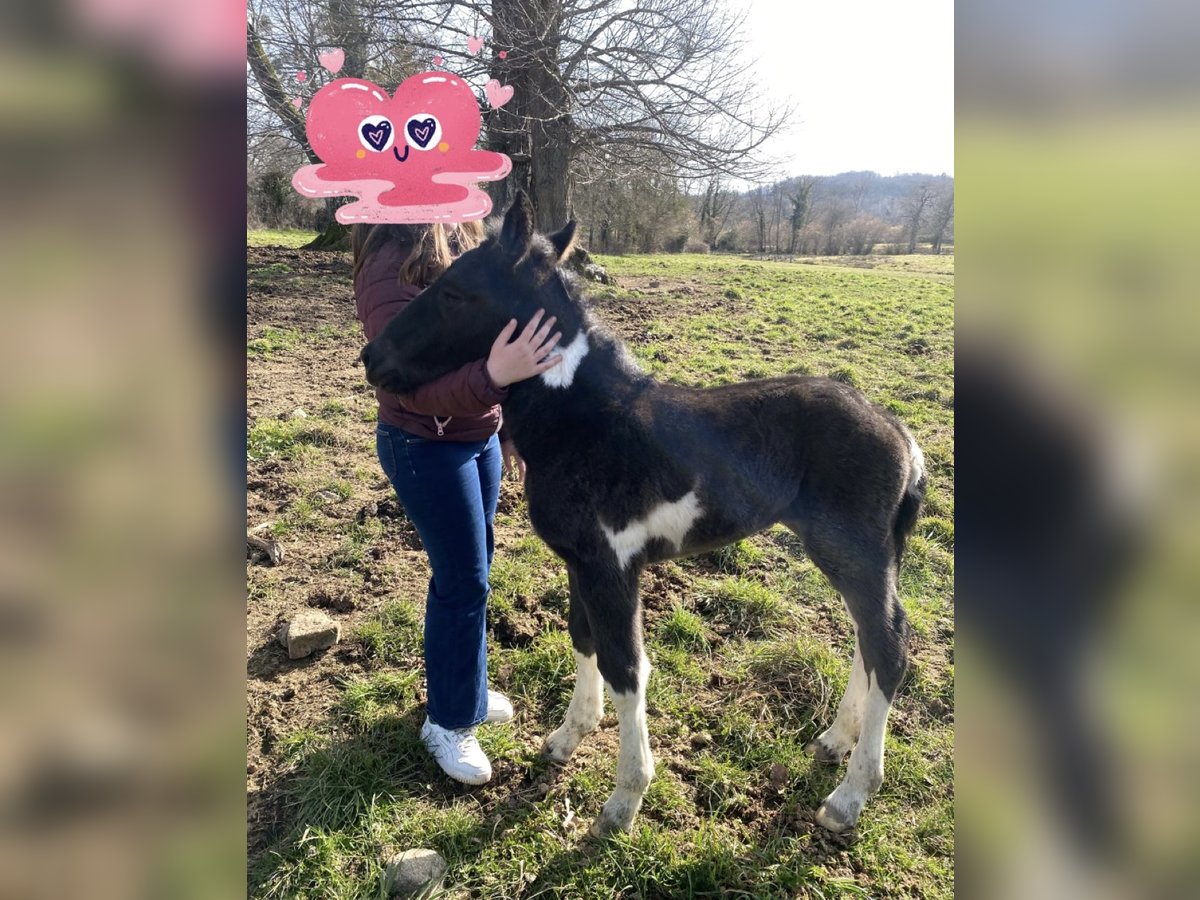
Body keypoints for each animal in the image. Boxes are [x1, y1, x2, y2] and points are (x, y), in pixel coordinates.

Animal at [360, 195, 921, 840]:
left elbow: (626, 668)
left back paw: (850, 795)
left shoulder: (614, 568)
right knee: (867, 640)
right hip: (848, 556)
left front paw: (624, 799)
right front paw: (566, 738)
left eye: (454, 291)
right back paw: (833, 741)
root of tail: (900, 433)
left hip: (853, 552)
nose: (371, 357)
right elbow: (583, 639)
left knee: (889, 648)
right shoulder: (580, 562)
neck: (587, 421)